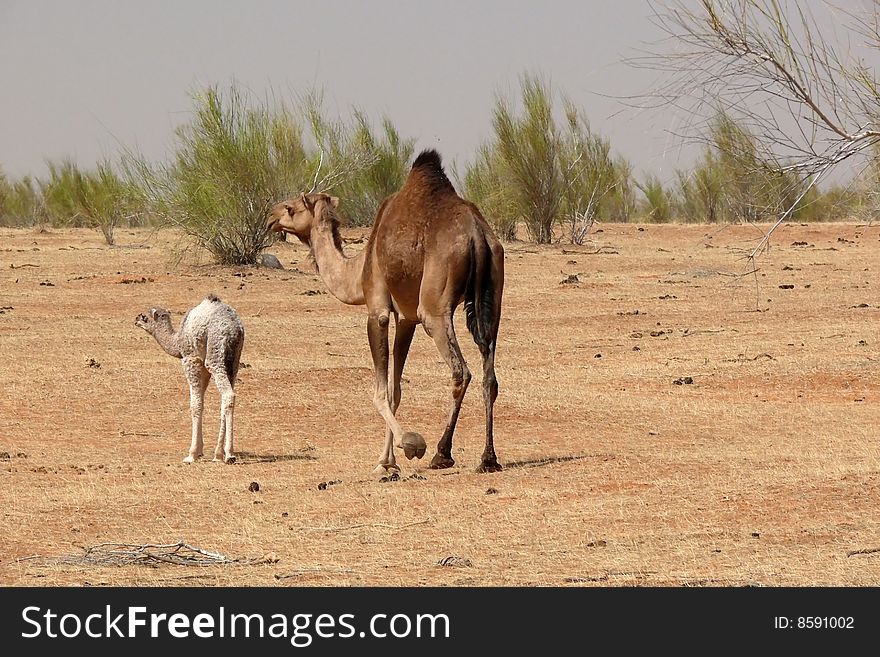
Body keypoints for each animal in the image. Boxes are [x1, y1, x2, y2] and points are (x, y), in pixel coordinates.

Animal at [266, 151, 502, 474]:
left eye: (290, 208)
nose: (271, 217)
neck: (357, 271)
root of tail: (478, 235)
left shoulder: (377, 308)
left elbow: (380, 392)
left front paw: (407, 447)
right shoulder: (406, 318)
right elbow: (395, 391)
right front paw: (387, 462)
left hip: (435, 308)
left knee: (460, 371)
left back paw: (441, 453)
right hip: (493, 297)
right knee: (489, 375)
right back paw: (488, 458)